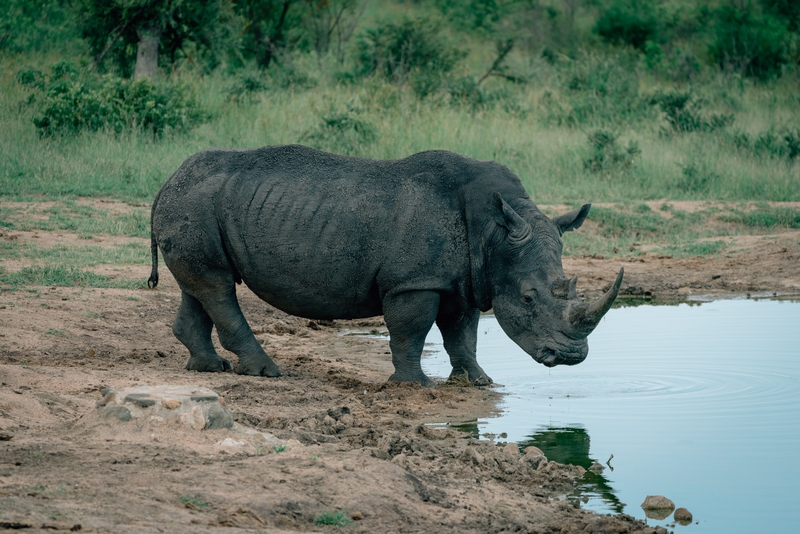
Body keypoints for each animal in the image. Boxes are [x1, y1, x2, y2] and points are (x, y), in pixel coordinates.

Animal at [150, 147, 624, 388]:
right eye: (528, 299)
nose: (571, 358)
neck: (494, 231)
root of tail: (166, 180)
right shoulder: (414, 281)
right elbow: (412, 330)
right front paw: (416, 386)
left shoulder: (465, 279)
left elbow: (463, 333)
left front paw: (479, 381)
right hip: (194, 203)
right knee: (217, 286)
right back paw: (266, 373)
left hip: (198, 205)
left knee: (202, 285)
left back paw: (209, 368)